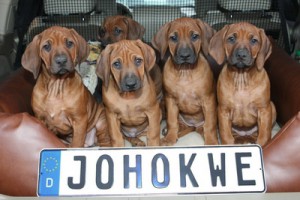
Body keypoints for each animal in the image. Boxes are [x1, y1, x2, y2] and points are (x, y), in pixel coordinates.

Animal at [152, 17, 218, 145]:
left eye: (195, 36)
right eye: (173, 38)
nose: (185, 55)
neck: (185, 72)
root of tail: (194, 126)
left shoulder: (208, 100)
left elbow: (210, 124)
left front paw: (211, 141)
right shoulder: (170, 100)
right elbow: (172, 121)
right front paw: (170, 137)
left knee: (205, 127)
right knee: (179, 124)